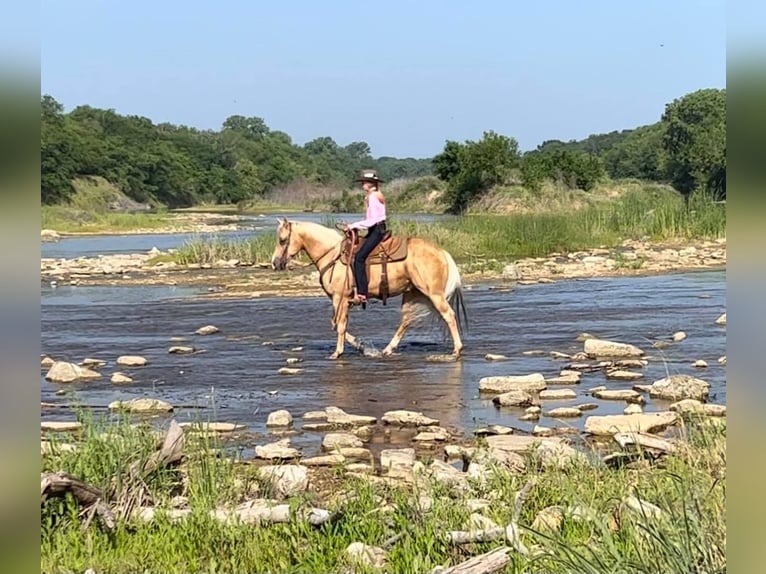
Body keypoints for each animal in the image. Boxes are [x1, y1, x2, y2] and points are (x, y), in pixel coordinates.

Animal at [270, 219, 468, 360]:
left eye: (282, 240)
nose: (275, 263)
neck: (332, 255)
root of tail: (441, 251)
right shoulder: (342, 301)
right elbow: (338, 325)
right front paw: (361, 346)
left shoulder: (339, 298)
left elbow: (339, 326)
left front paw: (337, 352)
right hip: (412, 293)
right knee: (406, 321)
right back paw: (387, 349)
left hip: (434, 294)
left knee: (448, 315)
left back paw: (456, 350)